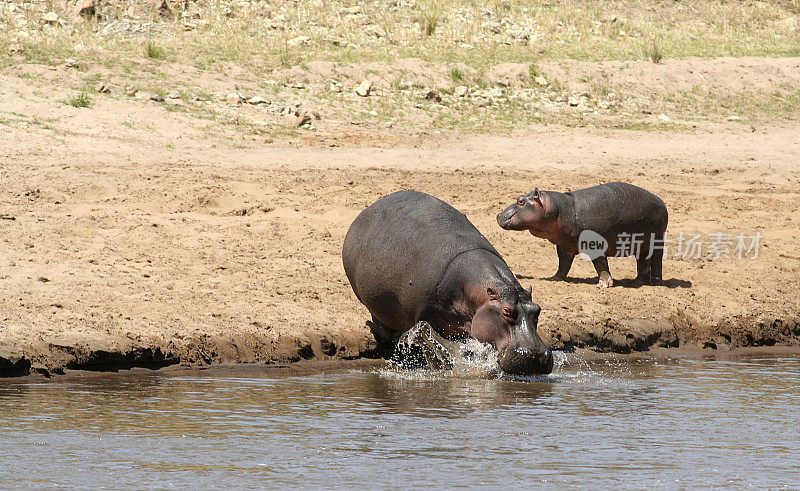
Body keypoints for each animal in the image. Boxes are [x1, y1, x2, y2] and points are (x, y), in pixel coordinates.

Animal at [340, 190, 552, 374]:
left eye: (538, 309)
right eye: (507, 311)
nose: (538, 355)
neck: (479, 294)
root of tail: (366, 211)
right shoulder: (424, 318)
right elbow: (433, 346)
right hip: (370, 302)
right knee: (382, 326)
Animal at [496, 181, 664, 288]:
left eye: (521, 201)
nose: (498, 215)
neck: (560, 209)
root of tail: (661, 201)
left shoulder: (595, 245)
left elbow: (601, 264)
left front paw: (603, 285)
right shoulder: (563, 246)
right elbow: (563, 265)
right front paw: (554, 279)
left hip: (657, 242)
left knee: (656, 262)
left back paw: (656, 282)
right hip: (641, 246)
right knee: (642, 263)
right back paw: (636, 282)